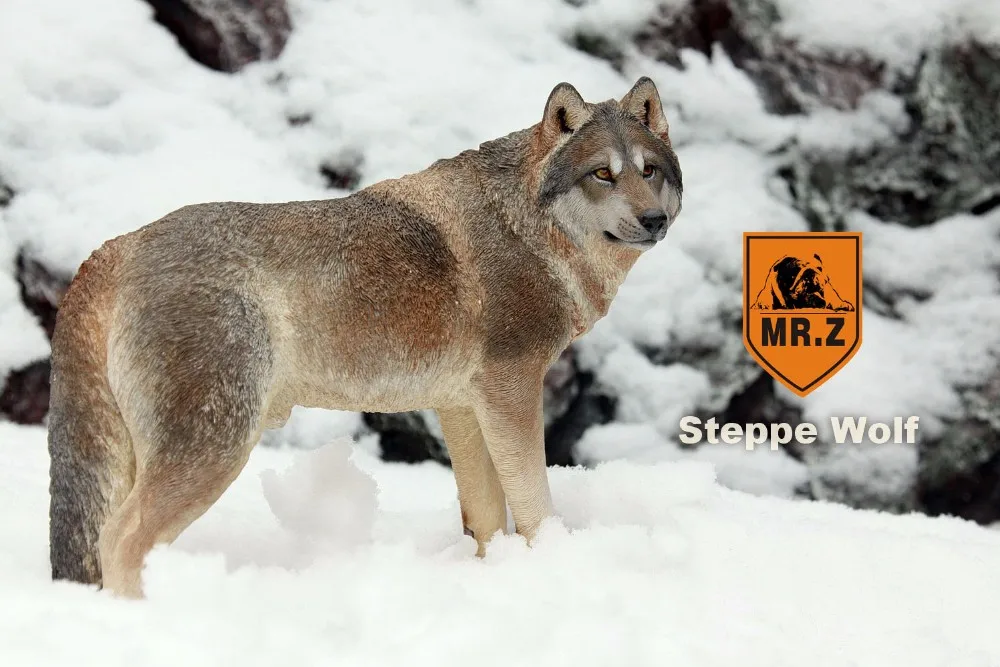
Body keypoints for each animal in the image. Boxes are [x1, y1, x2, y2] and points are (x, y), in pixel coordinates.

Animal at [47, 77, 683, 598]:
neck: (527, 227)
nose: (653, 221)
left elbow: (483, 520)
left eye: (648, 170)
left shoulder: (461, 408)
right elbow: (535, 507)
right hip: (216, 448)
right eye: (602, 173)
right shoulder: (512, 393)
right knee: (120, 541)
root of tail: (115, 248)